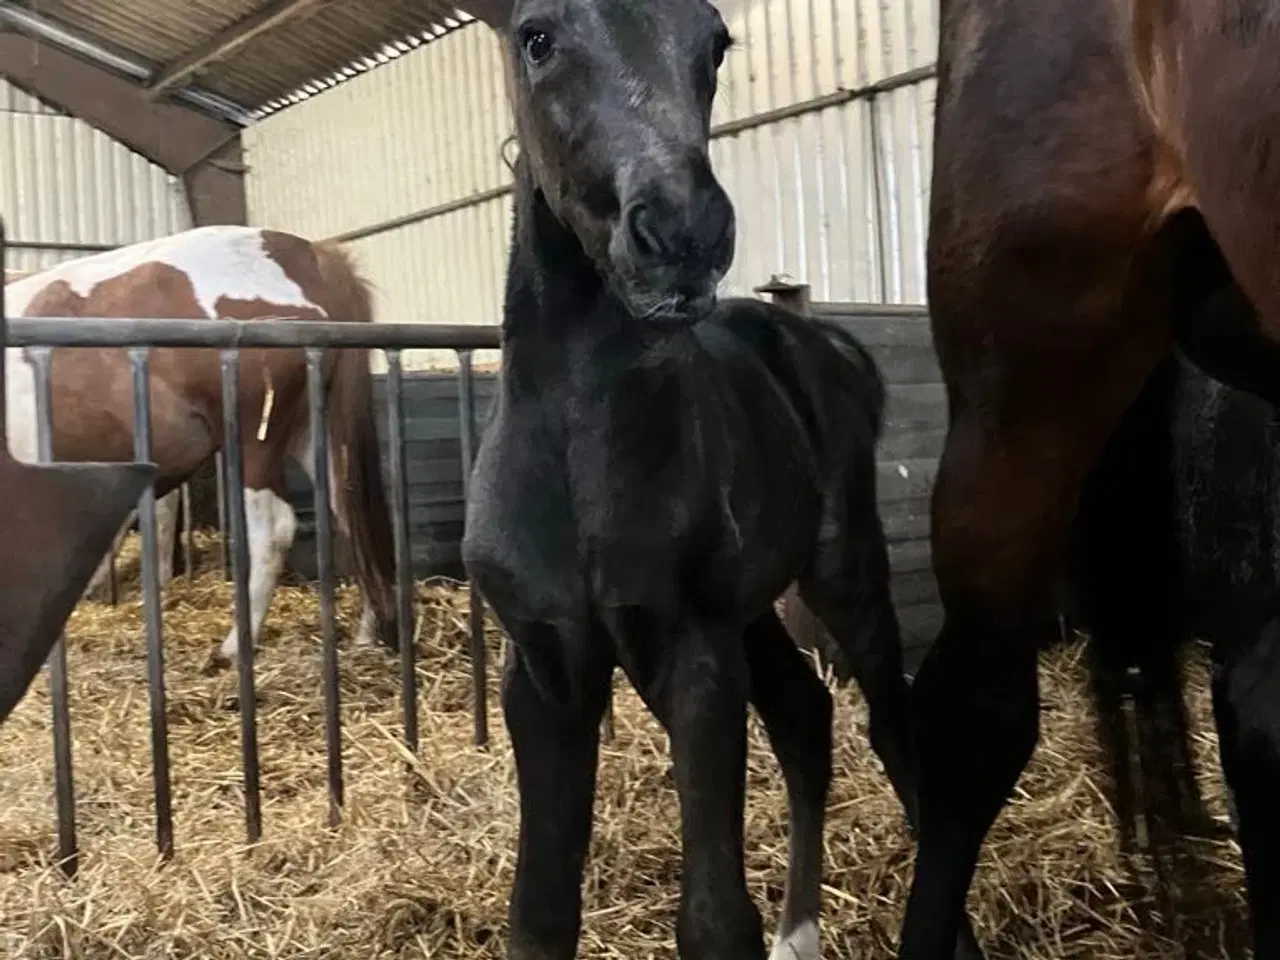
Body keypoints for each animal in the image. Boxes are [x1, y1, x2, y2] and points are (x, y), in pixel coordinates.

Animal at [3, 226, 394, 665]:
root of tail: (308, 256)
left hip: (255, 438)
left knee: (274, 530)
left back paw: (233, 648)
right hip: (314, 431)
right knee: (349, 512)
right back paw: (366, 634)